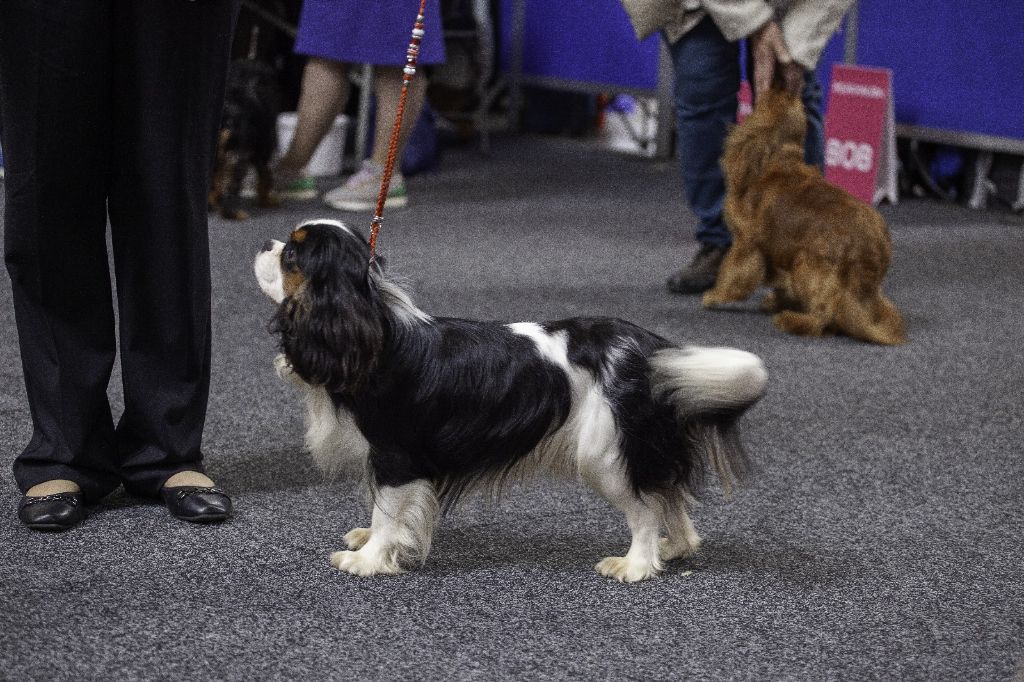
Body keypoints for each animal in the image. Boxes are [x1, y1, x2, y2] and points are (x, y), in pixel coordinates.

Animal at [256, 220, 770, 581]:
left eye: (294, 254)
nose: (265, 244)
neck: (371, 327)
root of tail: (651, 350)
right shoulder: (386, 459)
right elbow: (383, 507)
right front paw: (370, 540)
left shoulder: (396, 455)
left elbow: (388, 510)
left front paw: (368, 558)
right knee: (668, 494)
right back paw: (675, 548)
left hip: (606, 451)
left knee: (647, 508)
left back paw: (636, 565)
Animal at [704, 87, 905, 346]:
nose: (780, 81)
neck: (778, 159)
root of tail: (869, 249)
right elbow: (777, 279)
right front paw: (777, 299)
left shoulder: (746, 243)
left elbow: (733, 272)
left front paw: (715, 295)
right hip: (864, 289)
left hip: (807, 263)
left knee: (823, 316)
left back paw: (793, 320)